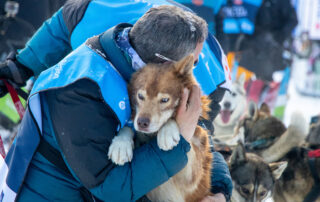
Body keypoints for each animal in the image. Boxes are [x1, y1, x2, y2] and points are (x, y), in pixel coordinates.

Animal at [107, 55, 212, 202]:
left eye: (164, 100)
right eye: (140, 96)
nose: (142, 122)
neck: (152, 135)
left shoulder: (191, 175)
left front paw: (167, 132)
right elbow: (128, 128)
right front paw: (121, 145)